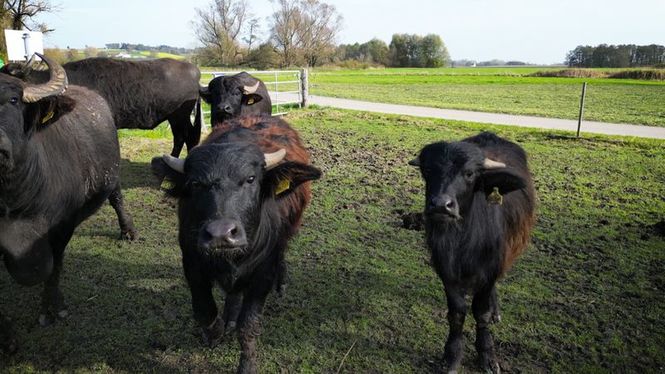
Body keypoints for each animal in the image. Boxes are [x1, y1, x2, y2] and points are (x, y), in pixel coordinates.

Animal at [0, 54, 136, 354]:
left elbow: (55, 264)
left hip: (113, 175)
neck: (15, 202)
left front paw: (52, 308)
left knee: (117, 198)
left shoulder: (63, 226)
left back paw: (128, 231)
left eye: (13, 100)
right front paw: (6, 336)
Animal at [152, 115, 320, 372]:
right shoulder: (192, 264)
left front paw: (247, 365)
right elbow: (204, 311)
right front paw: (216, 333)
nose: (221, 234)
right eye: (195, 183)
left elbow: (248, 325)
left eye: (250, 179)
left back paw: (281, 283)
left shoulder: (262, 274)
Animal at [408, 132, 536, 374]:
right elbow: (457, 313)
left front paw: (487, 355)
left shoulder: (491, 269)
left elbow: (481, 312)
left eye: (469, 173)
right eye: (428, 170)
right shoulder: (445, 270)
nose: (441, 205)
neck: (462, 239)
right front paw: (451, 355)